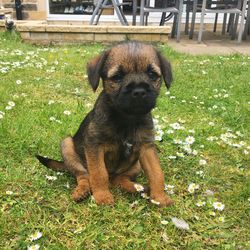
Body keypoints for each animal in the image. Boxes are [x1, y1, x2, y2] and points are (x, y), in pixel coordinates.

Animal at [36, 42, 174, 207]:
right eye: (117, 76)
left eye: (152, 74)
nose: (139, 91)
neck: (126, 119)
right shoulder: (95, 146)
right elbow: (98, 173)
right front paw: (102, 196)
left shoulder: (147, 148)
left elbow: (157, 173)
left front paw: (159, 197)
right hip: (67, 146)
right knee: (84, 175)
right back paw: (82, 191)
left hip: (136, 165)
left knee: (118, 178)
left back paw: (136, 188)